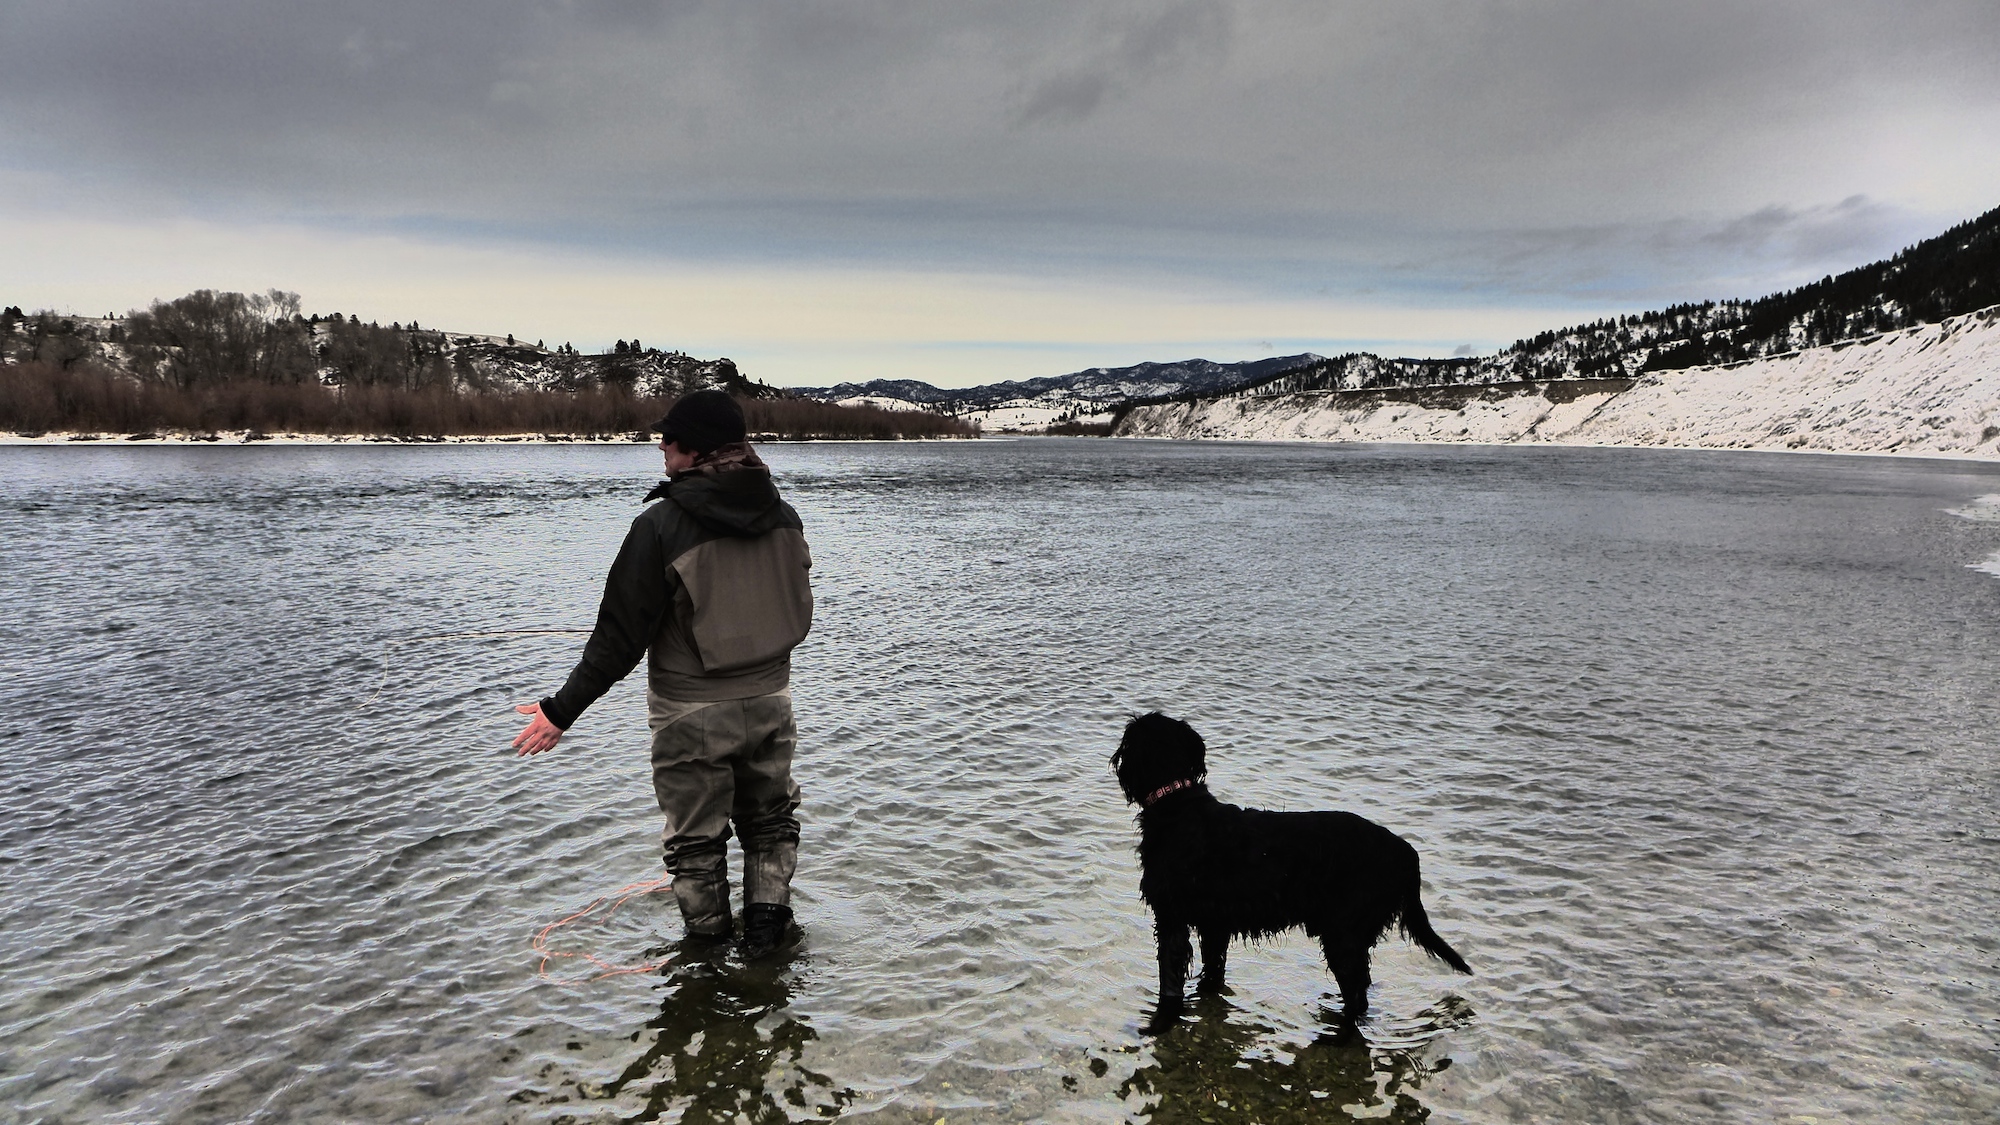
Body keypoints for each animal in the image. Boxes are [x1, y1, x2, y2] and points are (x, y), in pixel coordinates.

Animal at [1112, 708, 1472, 1024]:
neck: (1177, 806)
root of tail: (1407, 853)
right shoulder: (1214, 925)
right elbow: (1213, 972)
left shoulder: (1171, 918)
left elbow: (1169, 980)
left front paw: (1162, 1021)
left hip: (1344, 934)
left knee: (1357, 995)